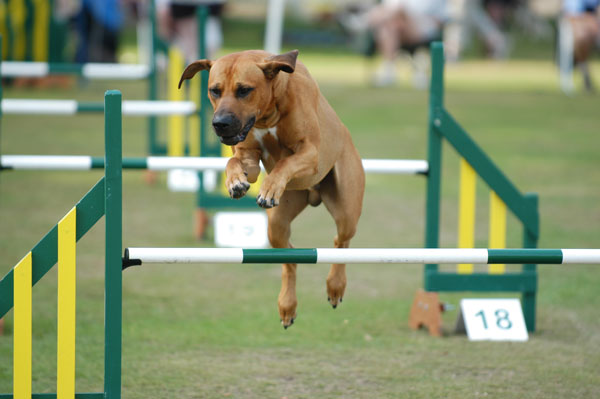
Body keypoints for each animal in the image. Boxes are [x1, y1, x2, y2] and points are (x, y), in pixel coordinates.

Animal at [178, 50, 366, 330]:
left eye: (244, 90)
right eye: (214, 90)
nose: (220, 123)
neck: (268, 113)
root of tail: (313, 195)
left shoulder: (310, 153)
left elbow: (285, 163)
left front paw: (269, 189)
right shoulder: (248, 156)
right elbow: (233, 161)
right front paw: (235, 182)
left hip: (347, 208)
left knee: (340, 241)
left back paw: (335, 286)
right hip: (276, 224)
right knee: (290, 259)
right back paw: (287, 306)